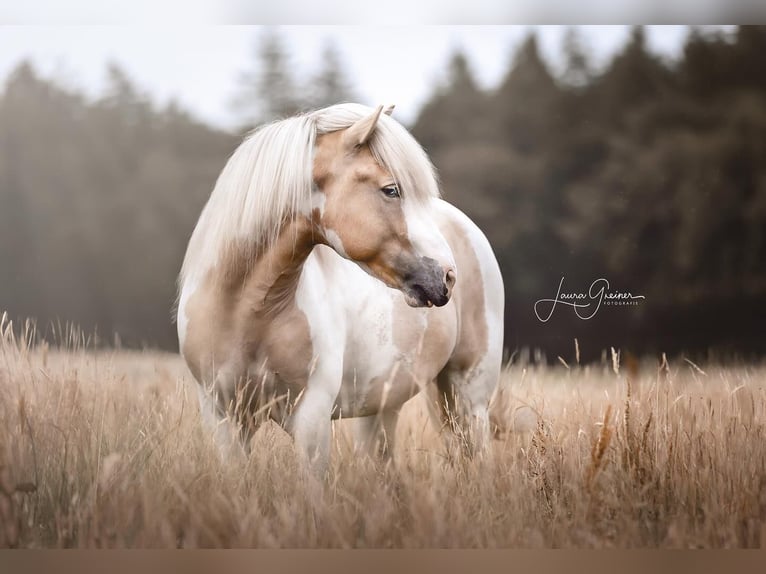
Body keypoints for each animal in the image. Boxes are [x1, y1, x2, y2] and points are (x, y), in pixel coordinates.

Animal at [177, 103, 508, 476]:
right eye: (391, 190)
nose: (447, 276)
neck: (244, 310)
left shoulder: (311, 418)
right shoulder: (222, 416)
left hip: (468, 398)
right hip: (383, 409)